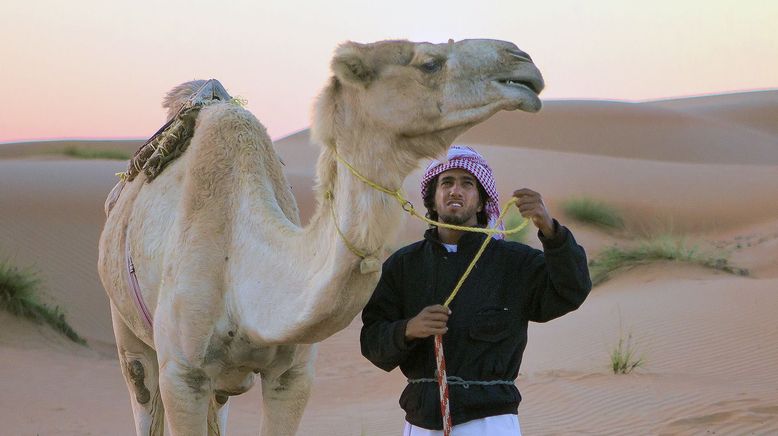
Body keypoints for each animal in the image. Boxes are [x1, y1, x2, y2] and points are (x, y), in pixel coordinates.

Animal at [97, 39, 544, 434]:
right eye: (428, 63)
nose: (522, 62)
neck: (241, 265)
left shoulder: (292, 376)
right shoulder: (183, 374)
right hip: (128, 332)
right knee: (140, 386)